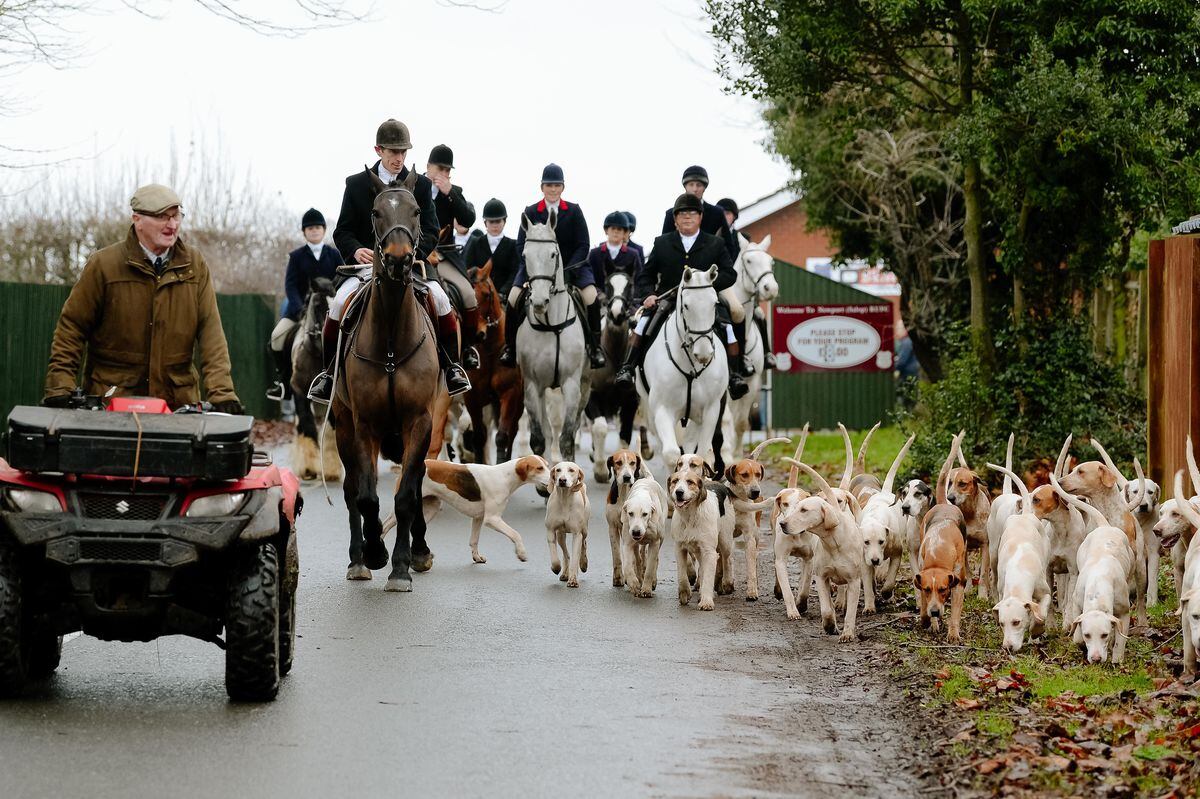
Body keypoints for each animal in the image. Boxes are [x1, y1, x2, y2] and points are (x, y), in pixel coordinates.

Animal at [333, 171, 441, 587]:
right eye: (376, 212)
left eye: (417, 210)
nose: (398, 259)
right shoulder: (365, 424)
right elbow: (366, 497)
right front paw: (376, 552)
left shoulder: (420, 420)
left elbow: (407, 493)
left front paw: (402, 564)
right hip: (343, 425)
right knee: (351, 488)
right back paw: (357, 557)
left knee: (417, 480)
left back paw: (419, 549)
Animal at [458, 261, 525, 460]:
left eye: (487, 295)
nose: (477, 333)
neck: (489, 350)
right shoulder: (472, 398)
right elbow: (479, 437)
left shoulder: (510, 393)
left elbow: (503, 436)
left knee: (512, 431)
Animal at [516, 211, 590, 460]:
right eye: (525, 255)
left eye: (553, 253)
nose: (539, 302)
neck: (552, 325)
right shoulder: (532, 386)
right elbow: (540, 439)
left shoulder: (572, 385)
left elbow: (566, 438)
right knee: (548, 433)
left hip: (584, 386)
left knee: (573, 427)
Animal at [633, 263, 724, 472]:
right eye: (686, 306)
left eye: (714, 303)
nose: (704, 352)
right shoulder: (663, 409)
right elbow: (671, 454)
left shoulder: (710, 410)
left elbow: (702, 454)